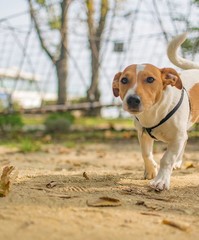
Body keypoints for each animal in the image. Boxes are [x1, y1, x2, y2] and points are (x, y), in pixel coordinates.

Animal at [112, 33, 199, 191]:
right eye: (124, 80)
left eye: (150, 79)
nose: (132, 100)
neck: (153, 112)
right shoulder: (142, 134)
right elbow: (146, 154)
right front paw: (151, 170)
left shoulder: (177, 137)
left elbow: (166, 158)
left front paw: (161, 181)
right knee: (186, 139)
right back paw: (178, 162)